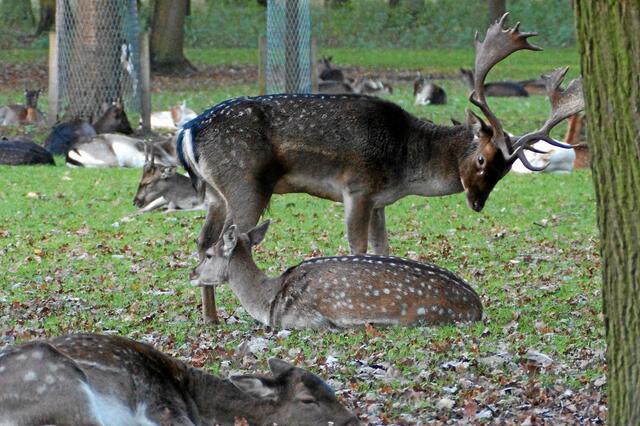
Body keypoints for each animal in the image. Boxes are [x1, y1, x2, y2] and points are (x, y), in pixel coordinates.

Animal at [178, 13, 584, 277]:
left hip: (216, 193)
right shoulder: (356, 188)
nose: (478, 203)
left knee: (204, 241)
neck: (404, 165)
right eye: (483, 160)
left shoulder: (378, 200)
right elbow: (356, 248)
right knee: (230, 242)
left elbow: (382, 248)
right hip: (245, 186)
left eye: (505, 171)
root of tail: (188, 130)